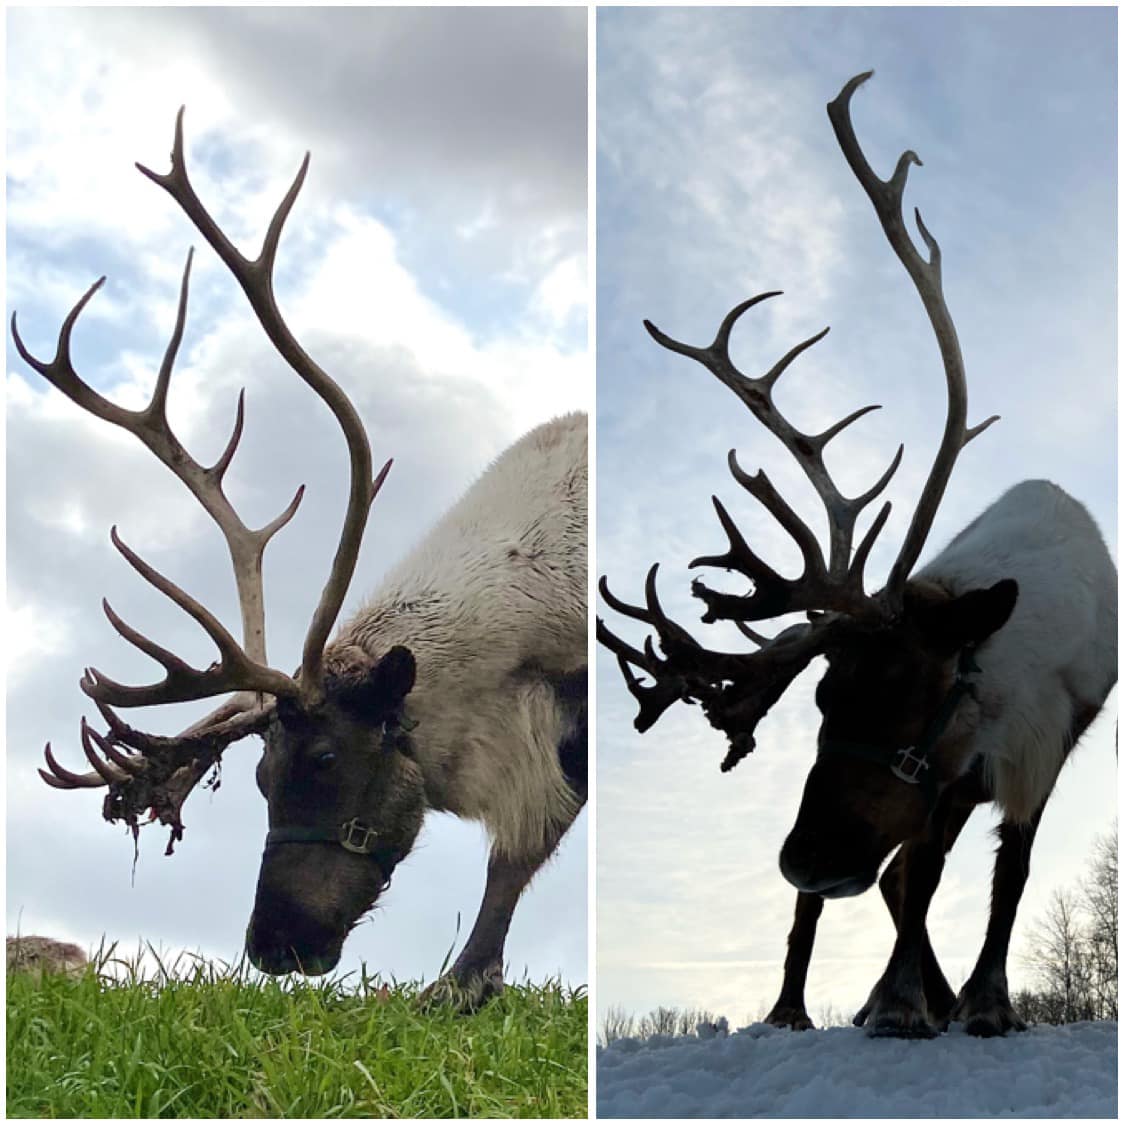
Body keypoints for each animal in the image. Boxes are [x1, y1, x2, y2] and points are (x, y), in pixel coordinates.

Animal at [598, 71, 1116, 1039]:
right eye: (821, 696)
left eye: (910, 692)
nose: (806, 859)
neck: (1003, 672)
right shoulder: (939, 777)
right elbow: (919, 877)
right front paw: (902, 1001)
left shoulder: (1039, 746)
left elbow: (1008, 872)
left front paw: (983, 1002)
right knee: (886, 881)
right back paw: (798, 1006)